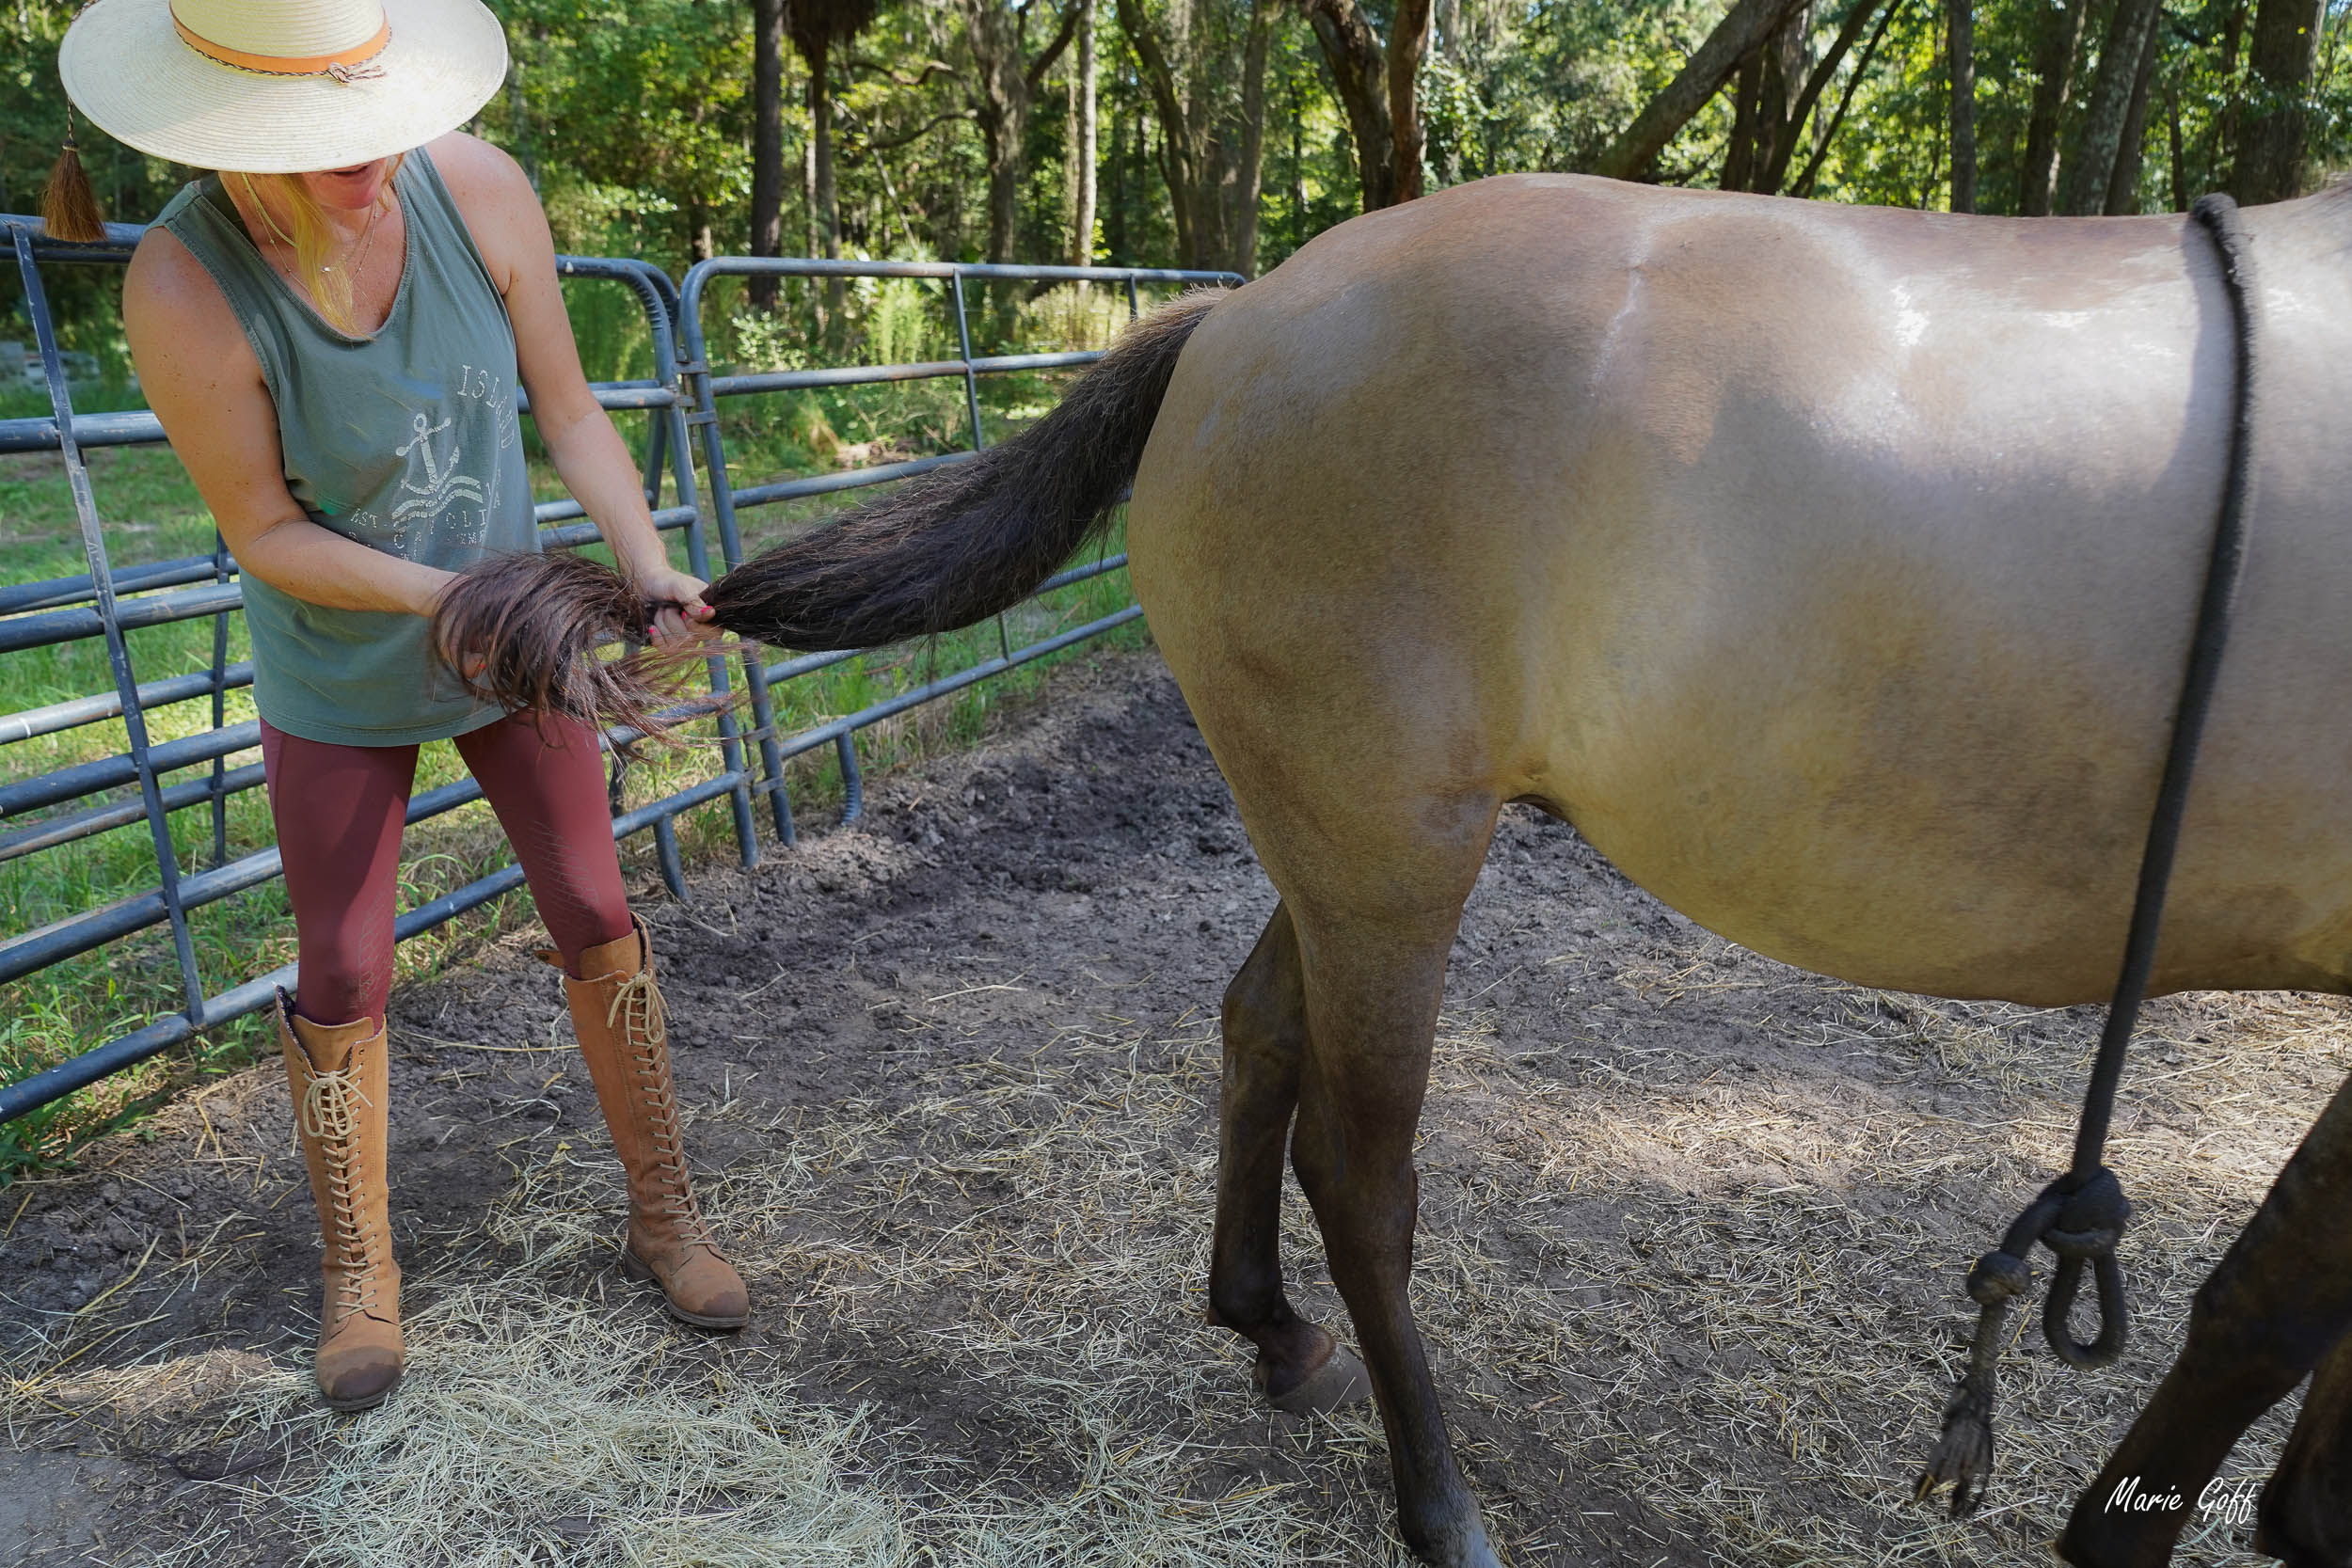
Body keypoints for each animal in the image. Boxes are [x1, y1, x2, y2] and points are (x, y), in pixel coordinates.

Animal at [437, 172, 2352, 1567]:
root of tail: (1239, 317)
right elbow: (2269, 1311)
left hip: (1340, 843)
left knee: (1258, 1034)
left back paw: (1269, 1325)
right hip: (1389, 853)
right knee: (1361, 1166)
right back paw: (1437, 1499)